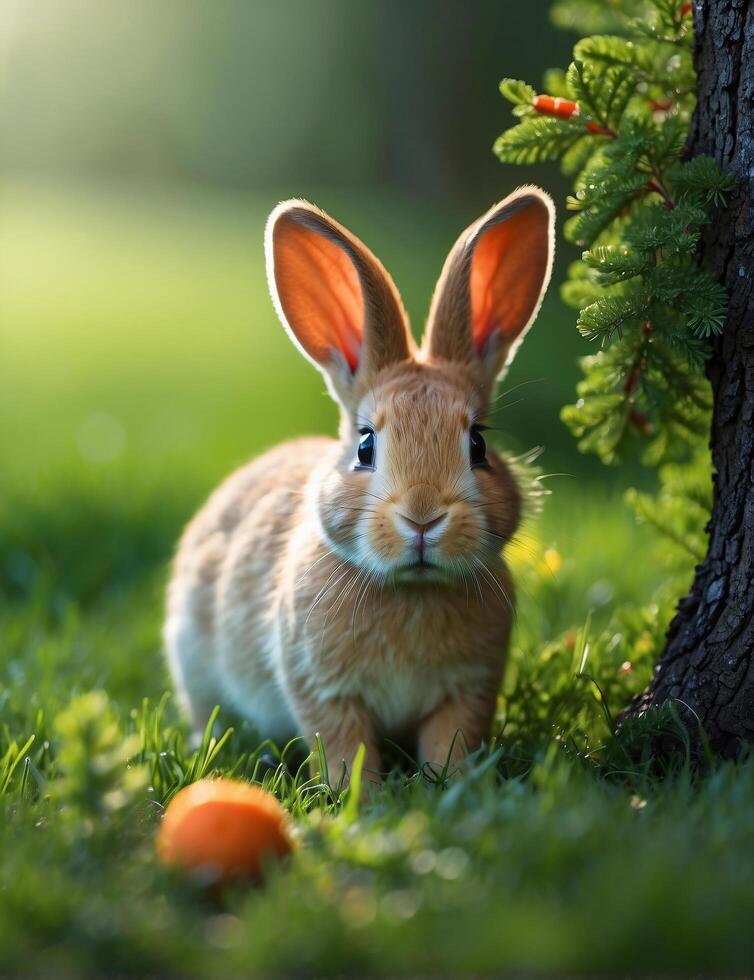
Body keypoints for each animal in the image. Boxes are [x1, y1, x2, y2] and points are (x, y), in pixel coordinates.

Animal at [164, 188, 552, 784]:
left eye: (478, 445)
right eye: (366, 446)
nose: (422, 517)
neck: (411, 590)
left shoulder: (467, 691)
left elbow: (450, 743)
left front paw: (450, 784)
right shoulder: (324, 690)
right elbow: (345, 748)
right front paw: (358, 796)